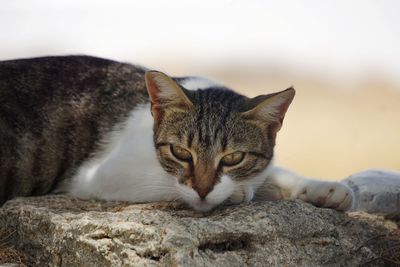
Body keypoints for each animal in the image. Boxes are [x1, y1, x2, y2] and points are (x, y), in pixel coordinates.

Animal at [0, 55, 354, 213]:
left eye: (234, 157)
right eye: (181, 152)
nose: (203, 190)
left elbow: (271, 170)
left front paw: (323, 188)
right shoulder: (98, 175)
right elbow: (168, 184)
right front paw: (238, 192)